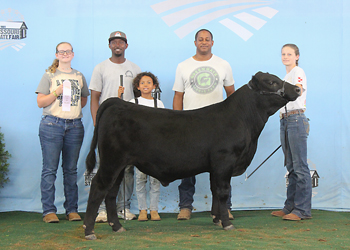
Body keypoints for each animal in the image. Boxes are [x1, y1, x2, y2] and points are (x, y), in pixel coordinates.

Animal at [83, 71, 300, 239]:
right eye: (271, 82)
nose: (298, 89)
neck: (242, 120)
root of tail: (116, 103)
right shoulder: (225, 160)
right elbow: (223, 191)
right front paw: (226, 223)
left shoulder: (215, 167)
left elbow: (215, 191)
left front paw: (216, 219)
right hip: (111, 161)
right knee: (98, 187)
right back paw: (89, 230)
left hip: (119, 165)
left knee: (110, 192)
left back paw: (117, 227)